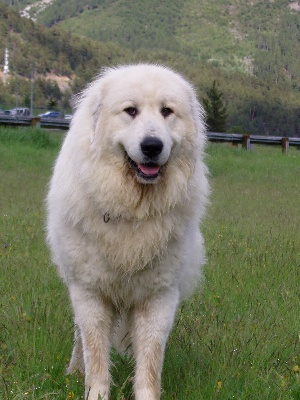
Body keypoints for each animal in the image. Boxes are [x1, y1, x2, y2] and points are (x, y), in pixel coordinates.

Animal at [47, 64, 210, 398]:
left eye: (166, 111)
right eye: (130, 111)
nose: (152, 146)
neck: (134, 208)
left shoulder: (158, 296)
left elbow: (150, 358)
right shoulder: (89, 292)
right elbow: (95, 351)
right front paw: (95, 392)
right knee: (79, 337)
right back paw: (74, 370)